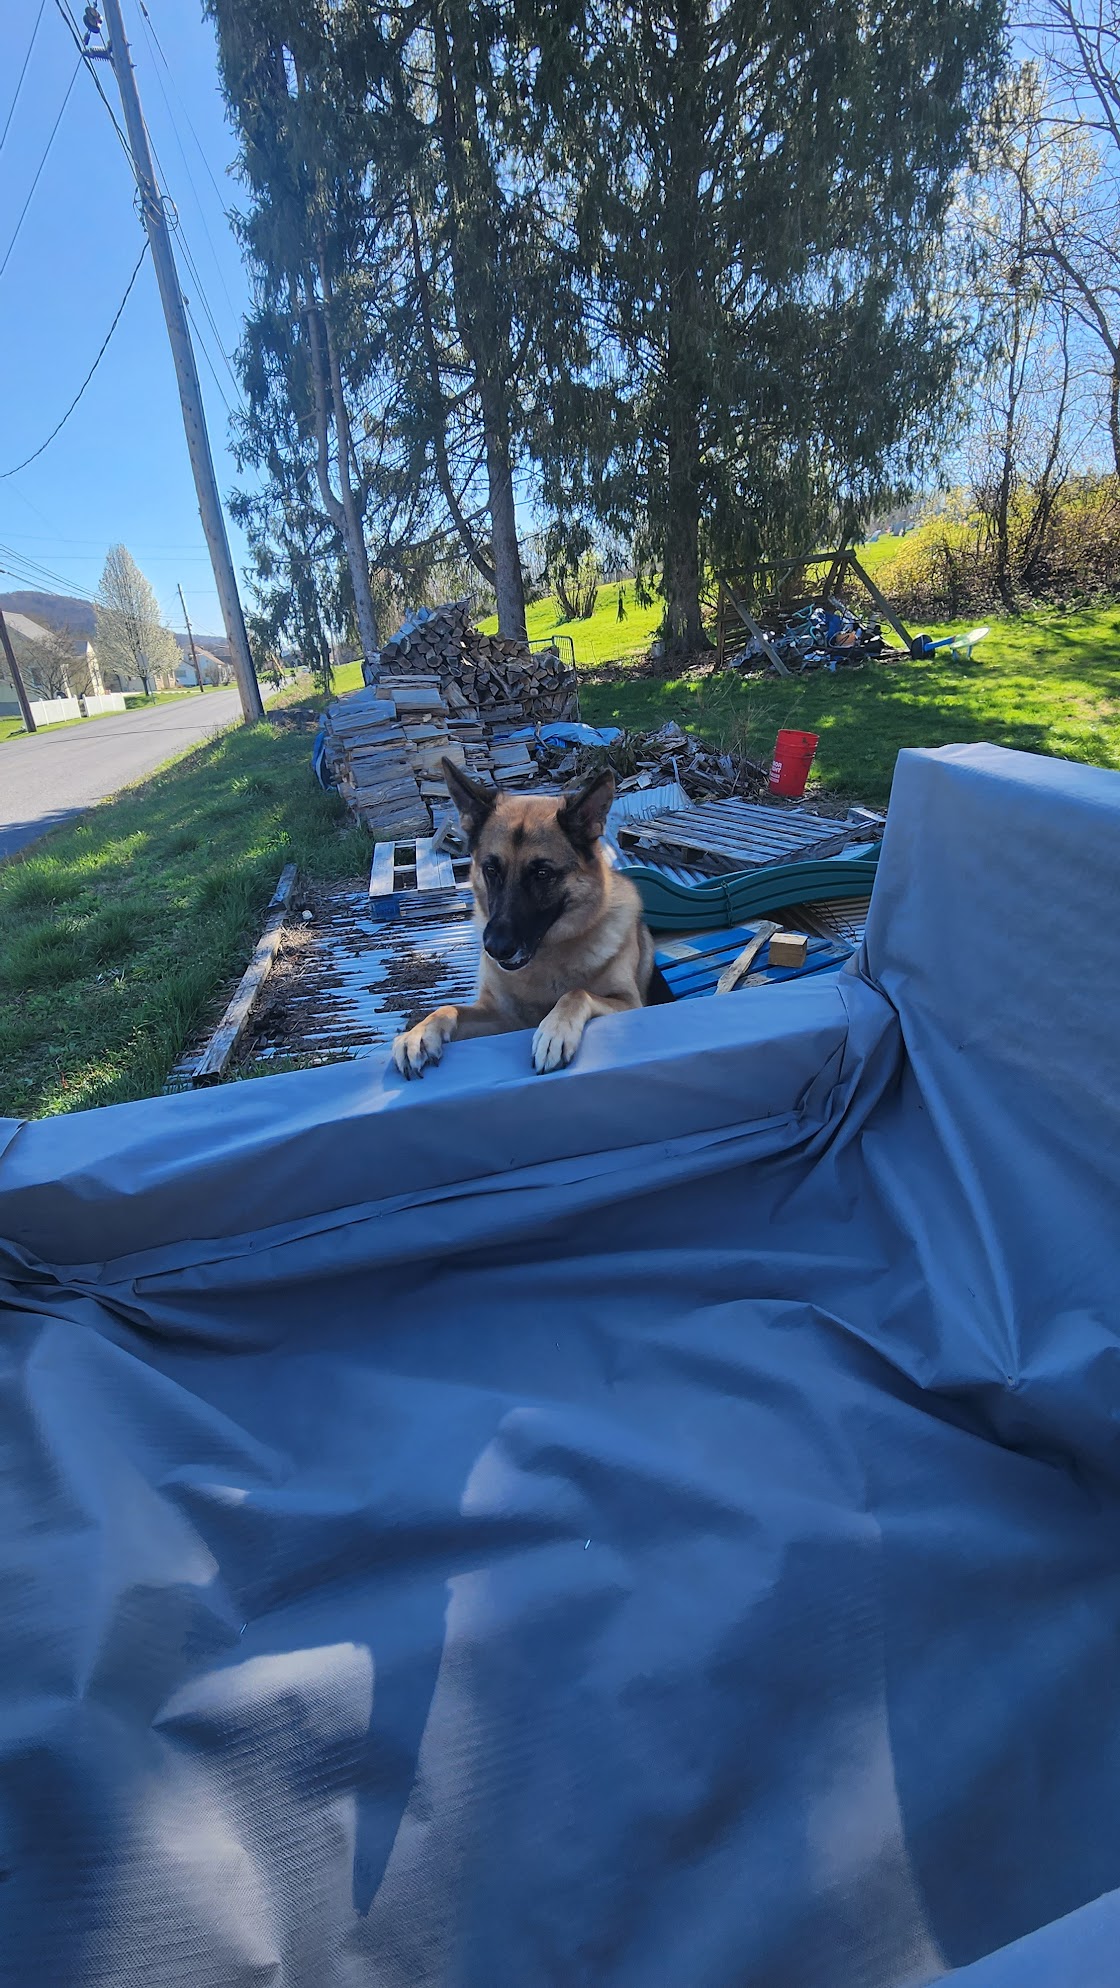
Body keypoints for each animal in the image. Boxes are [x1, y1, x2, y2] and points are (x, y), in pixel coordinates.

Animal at [393, 755, 656, 1073]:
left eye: (542, 874)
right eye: (491, 869)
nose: (495, 948)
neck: (546, 958)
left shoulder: (629, 1004)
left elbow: (576, 993)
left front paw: (554, 1032)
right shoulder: (501, 1017)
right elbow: (447, 1008)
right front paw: (418, 1032)